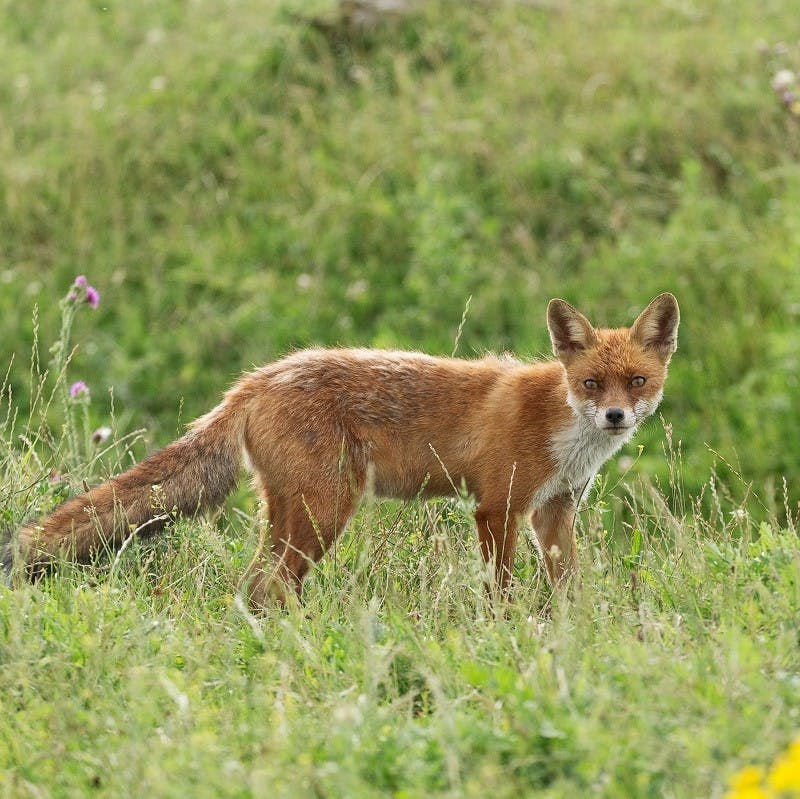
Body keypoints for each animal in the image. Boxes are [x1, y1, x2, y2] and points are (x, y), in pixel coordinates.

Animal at [6, 294, 680, 608]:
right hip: (325, 511)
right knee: (268, 587)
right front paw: (506, 633)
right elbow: (501, 591)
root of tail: (255, 379)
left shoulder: (555, 510)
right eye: (591, 384)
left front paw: (571, 635)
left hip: (295, 514)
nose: (616, 417)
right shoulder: (497, 506)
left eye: (636, 382)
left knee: (253, 587)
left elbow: (569, 589)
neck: (564, 431)